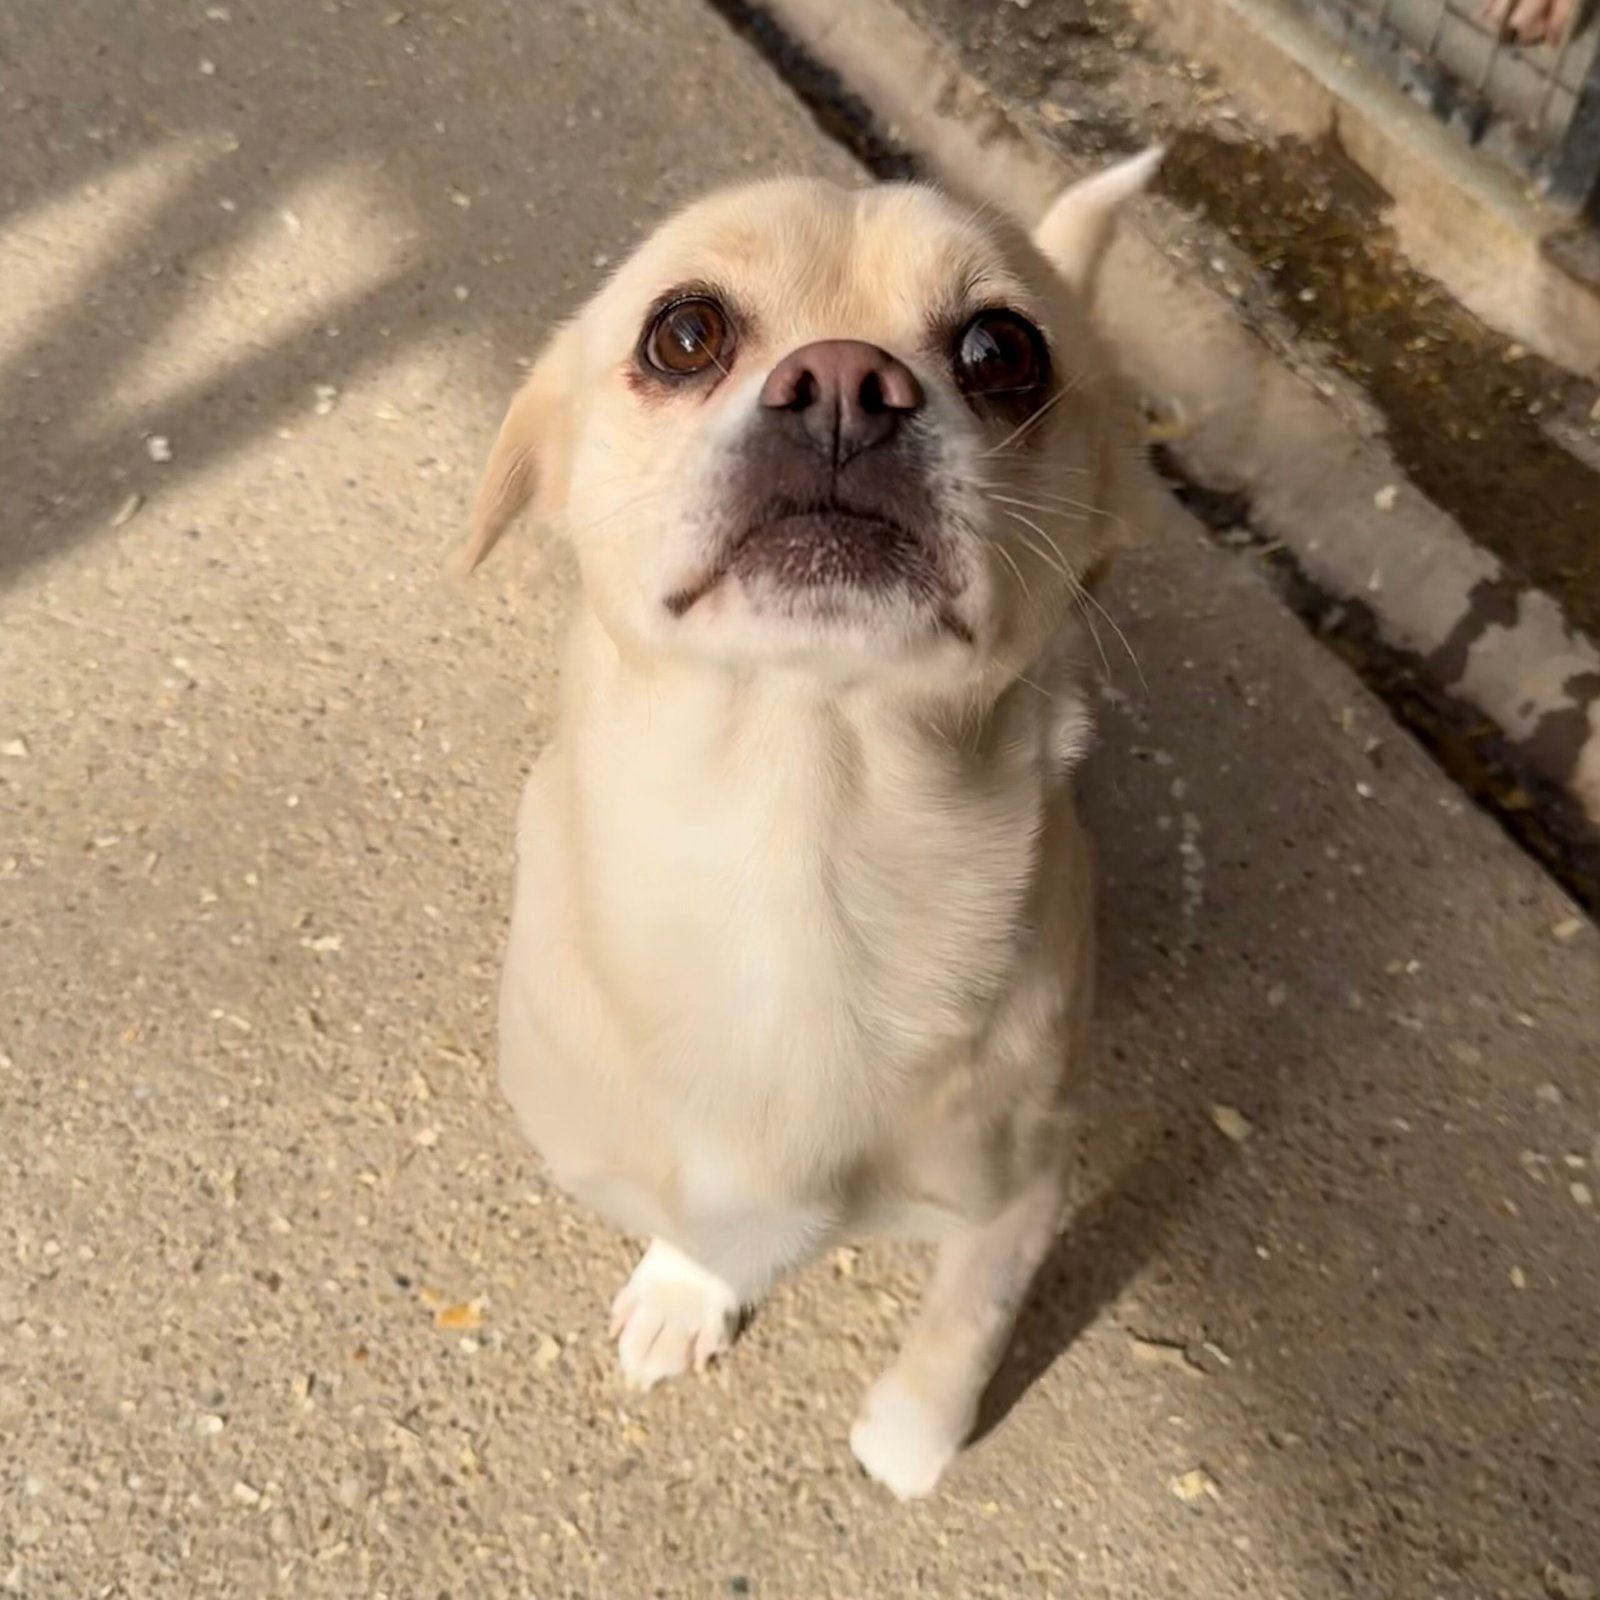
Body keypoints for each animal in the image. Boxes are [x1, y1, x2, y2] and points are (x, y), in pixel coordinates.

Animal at [460, 150, 1161, 1499]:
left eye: (1001, 350)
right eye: (683, 334)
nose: (845, 379)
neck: (800, 834)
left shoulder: (1024, 1188)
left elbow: (967, 1317)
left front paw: (914, 1438)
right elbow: (697, 1217)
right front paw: (693, 1285)